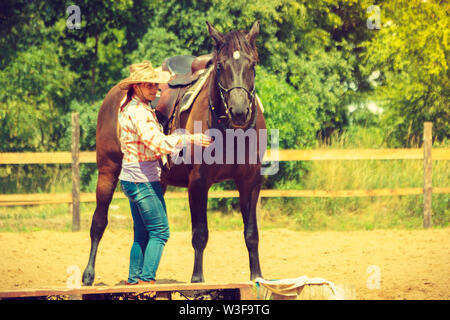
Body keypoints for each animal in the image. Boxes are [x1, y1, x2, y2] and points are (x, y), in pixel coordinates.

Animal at [82, 20, 266, 284]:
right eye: (221, 65)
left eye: (252, 64)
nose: (239, 111)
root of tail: (114, 93)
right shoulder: (198, 182)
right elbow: (200, 234)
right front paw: (197, 279)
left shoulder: (250, 181)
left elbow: (251, 233)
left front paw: (257, 277)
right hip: (107, 170)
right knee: (98, 221)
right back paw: (88, 274)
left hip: (156, 181)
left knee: (144, 230)